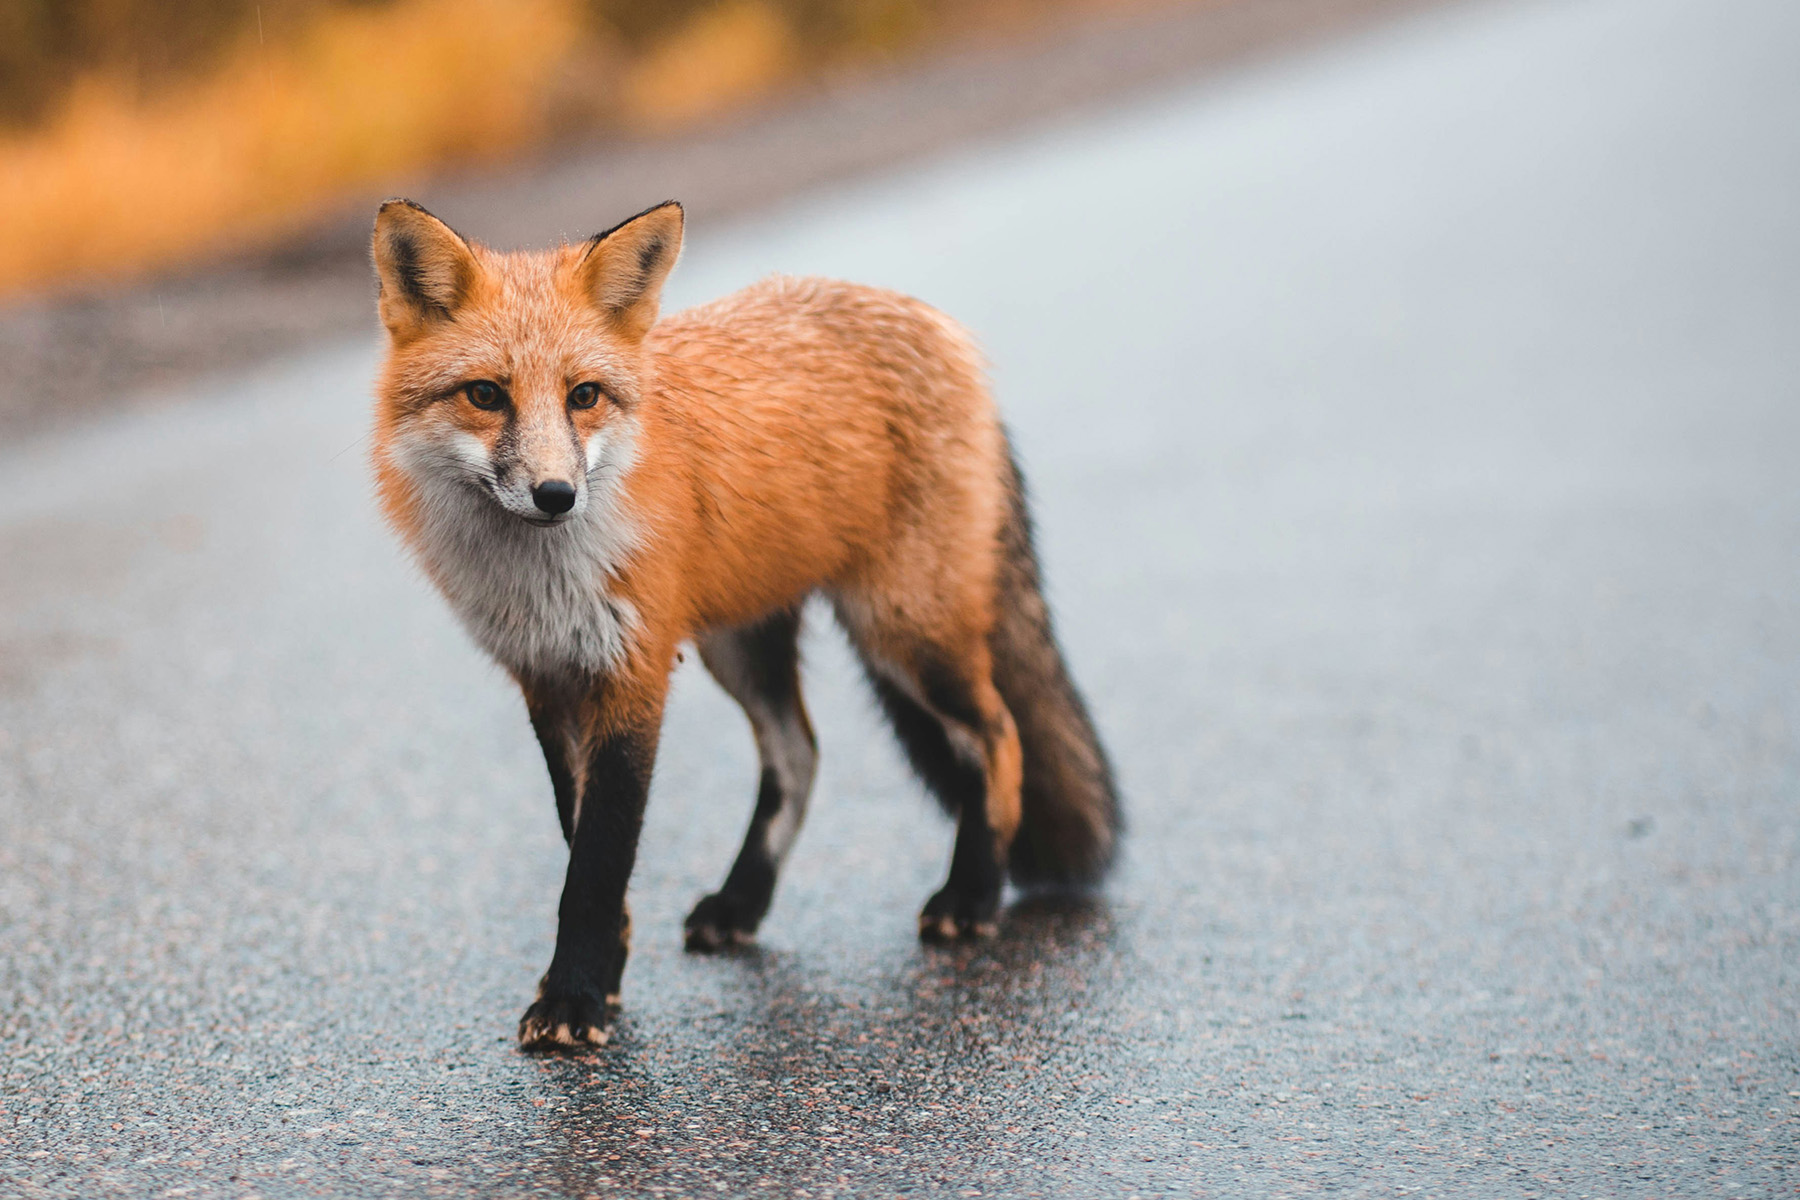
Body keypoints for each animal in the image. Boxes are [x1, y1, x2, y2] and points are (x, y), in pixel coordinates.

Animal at [369, 198, 1119, 1050]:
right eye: (486, 395)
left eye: (583, 396)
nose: (557, 495)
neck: (542, 579)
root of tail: (936, 323)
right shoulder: (548, 678)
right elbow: (579, 840)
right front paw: (604, 976)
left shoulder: (635, 672)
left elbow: (597, 860)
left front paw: (575, 997)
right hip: (743, 646)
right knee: (800, 753)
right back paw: (742, 903)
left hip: (903, 631)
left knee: (997, 736)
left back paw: (972, 895)